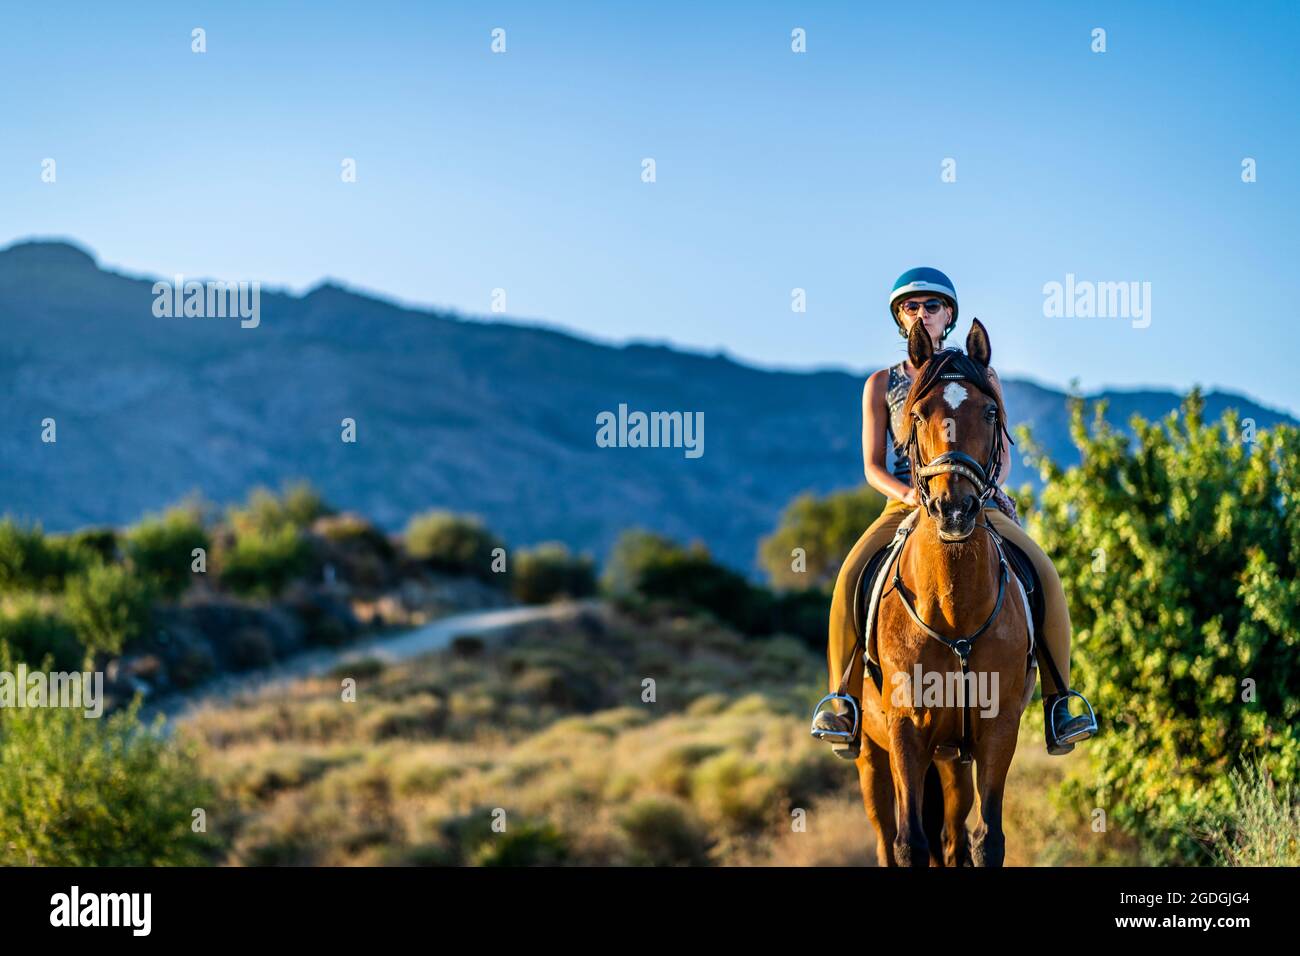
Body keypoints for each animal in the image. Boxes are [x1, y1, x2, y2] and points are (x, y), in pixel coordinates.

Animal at [852, 319, 1034, 868]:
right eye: (917, 414)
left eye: (991, 412)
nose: (954, 509)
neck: (955, 614)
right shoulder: (905, 732)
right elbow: (909, 844)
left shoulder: (998, 729)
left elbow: (986, 841)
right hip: (871, 757)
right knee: (885, 836)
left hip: (953, 759)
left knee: (953, 839)